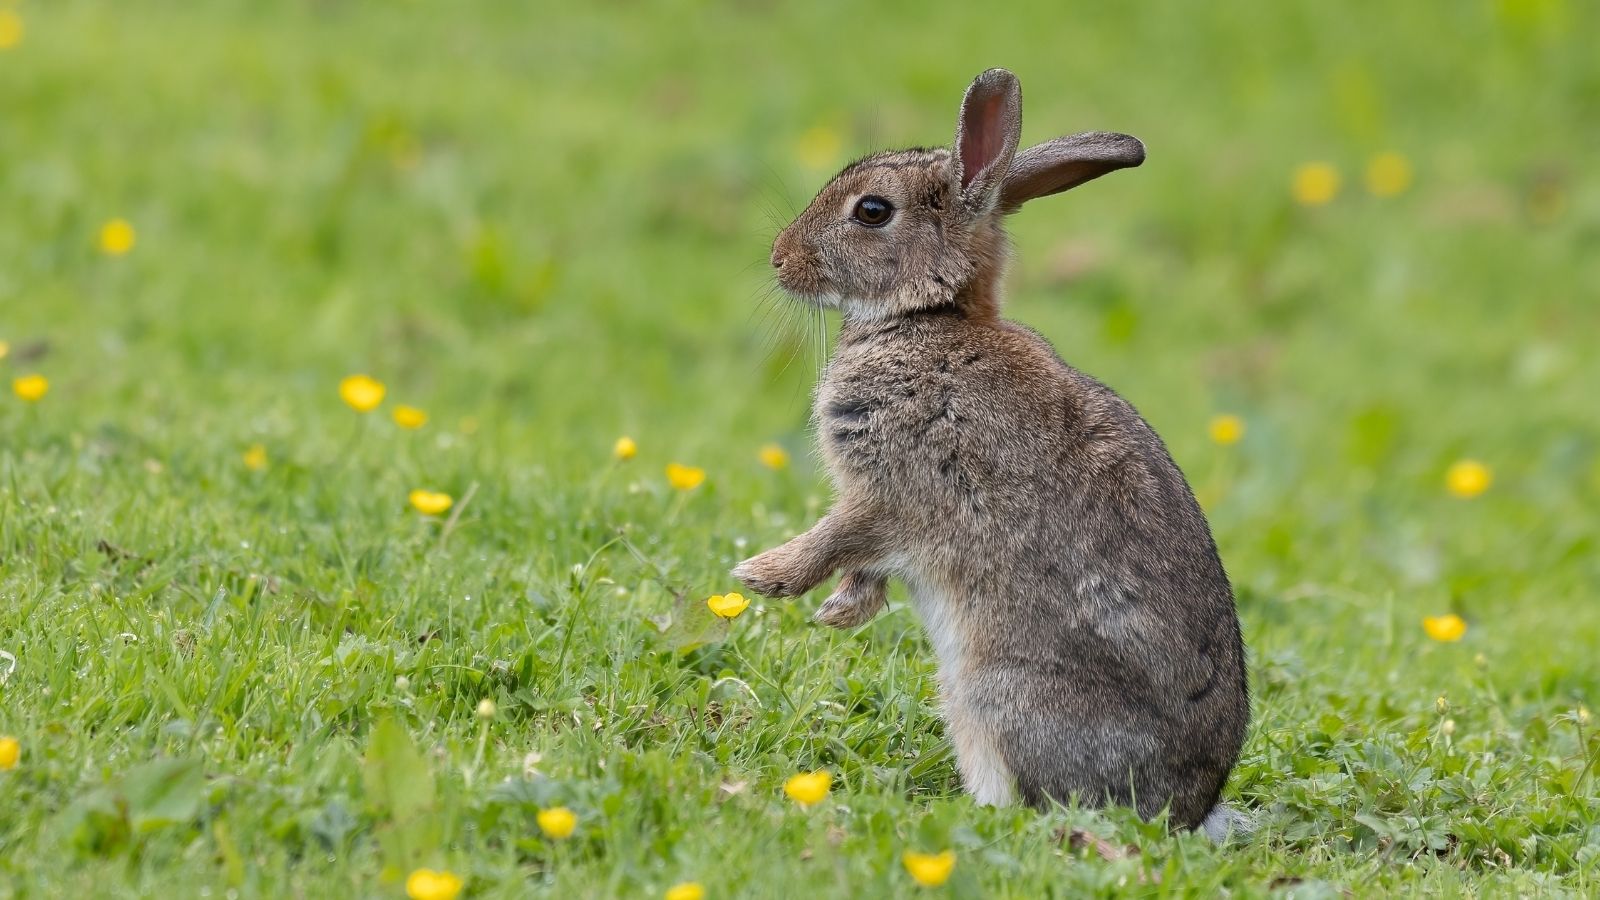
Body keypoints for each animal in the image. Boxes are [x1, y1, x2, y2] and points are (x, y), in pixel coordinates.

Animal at [733, 68, 1249, 838]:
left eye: (872, 210)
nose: (779, 259)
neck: (930, 319)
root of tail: (1182, 810)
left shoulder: (892, 490)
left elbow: (836, 538)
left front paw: (764, 577)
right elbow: (864, 567)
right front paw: (839, 613)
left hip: (993, 693)